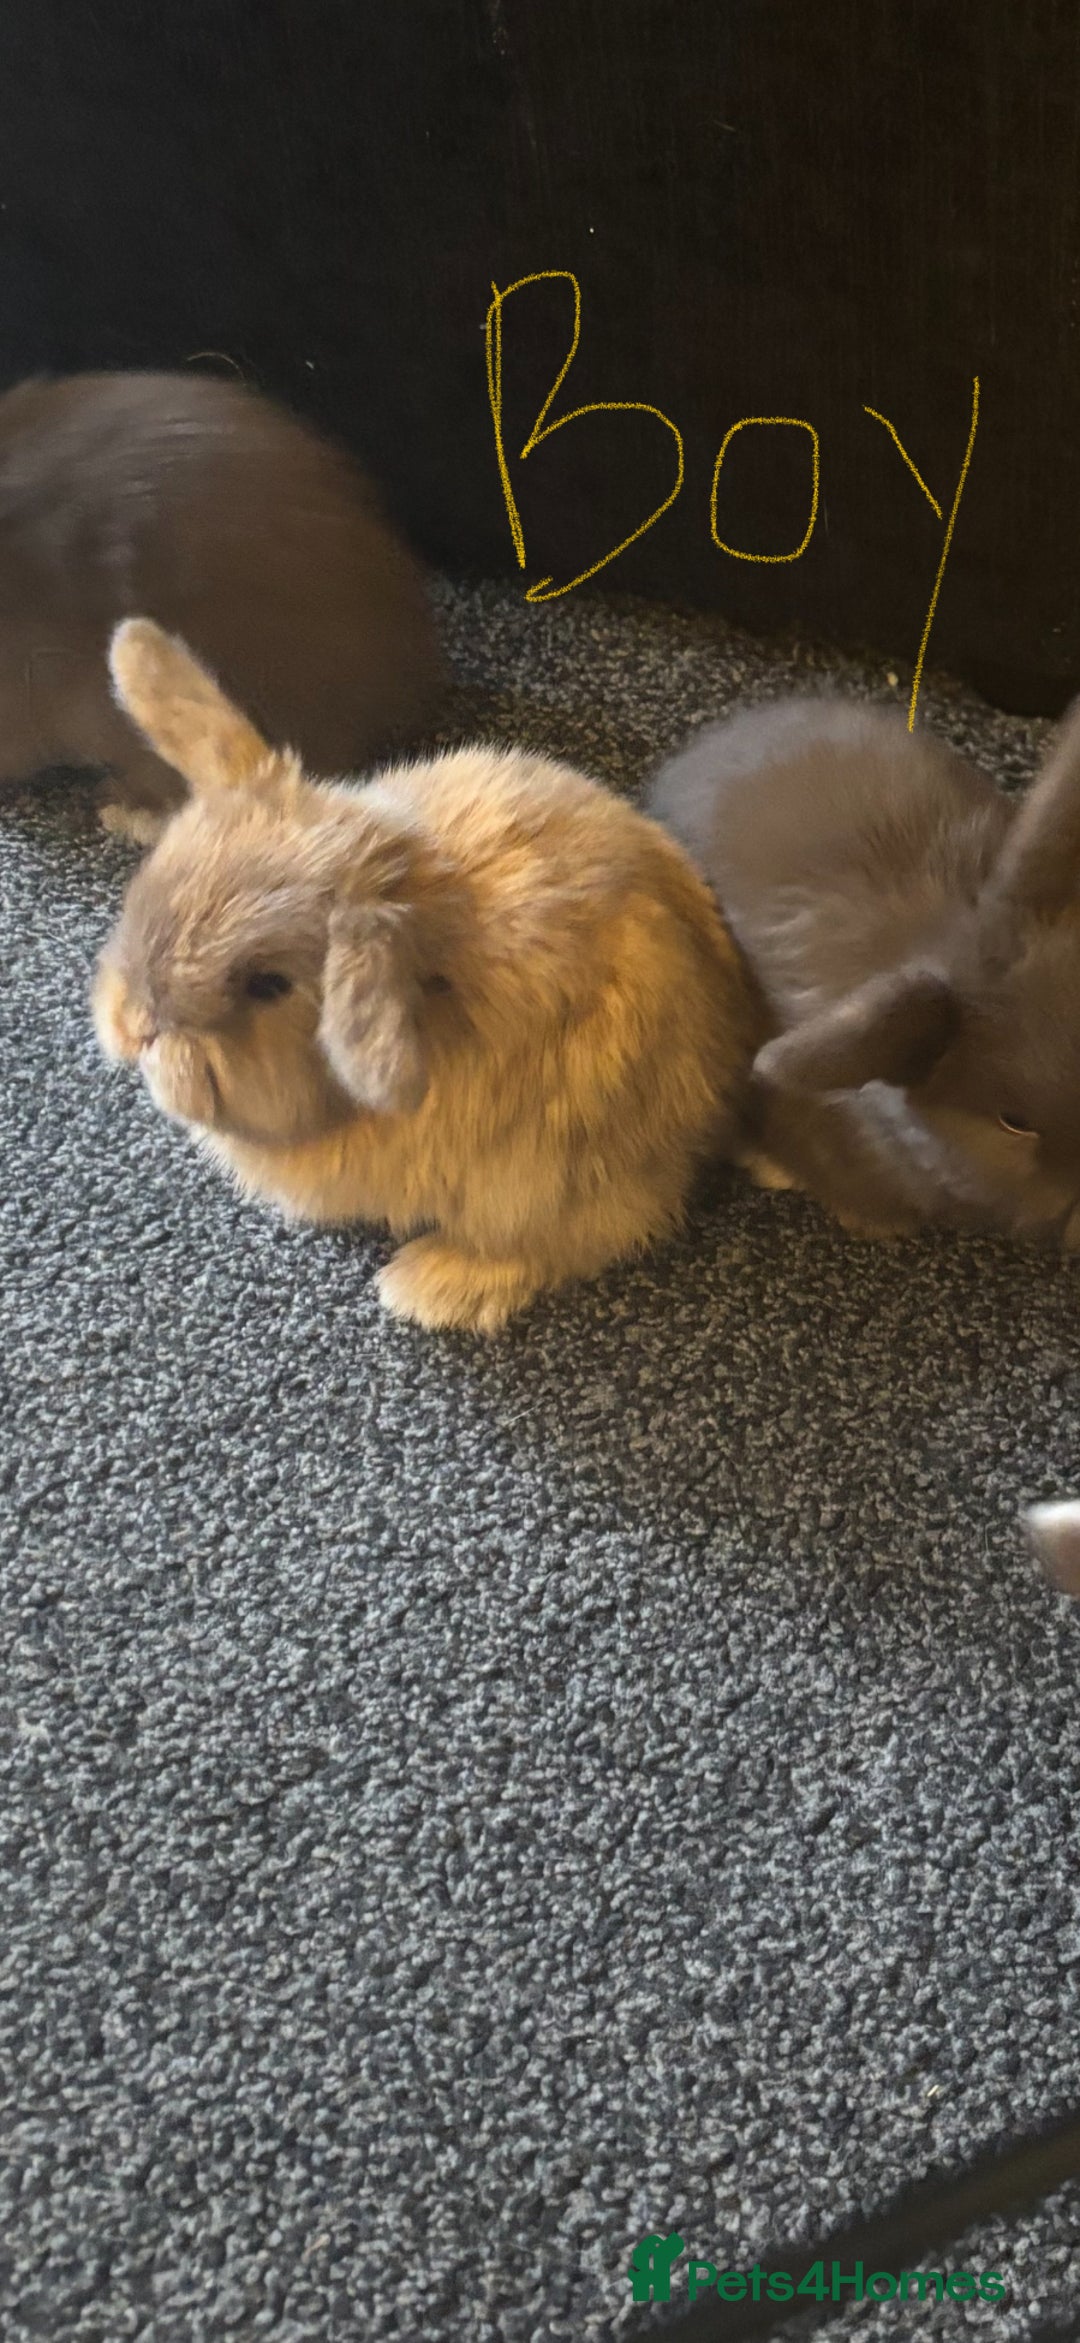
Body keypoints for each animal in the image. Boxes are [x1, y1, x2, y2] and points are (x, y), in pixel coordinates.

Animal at [92, 619, 755, 1332]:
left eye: (267, 984)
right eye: (156, 877)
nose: (135, 1027)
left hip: (543, 1180)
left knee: (576, 1240)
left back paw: (425, 1284)